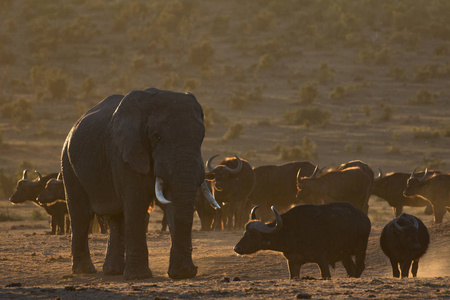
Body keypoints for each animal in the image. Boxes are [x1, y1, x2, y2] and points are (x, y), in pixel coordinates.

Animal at [61, 88, 220, 280]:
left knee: (116, 218)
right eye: (156, 136)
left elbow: (173, 203)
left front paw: (182, 274)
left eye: (201, 137)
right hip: (68, 164)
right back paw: (85, 270)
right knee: (81, 215)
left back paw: (113, 271)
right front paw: (139, 276)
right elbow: (136, 203)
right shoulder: (124, 152)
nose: (192, 270)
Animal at [234, 203, 370, 280]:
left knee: (360, 267)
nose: (236, 248)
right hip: (345, 256)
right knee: (351, 270)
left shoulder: (322, 259)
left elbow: (326, 275)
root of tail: (364, 218)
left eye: (253, 235)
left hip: (360, 249)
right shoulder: (293, 262)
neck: (291, 231)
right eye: (245, 232)